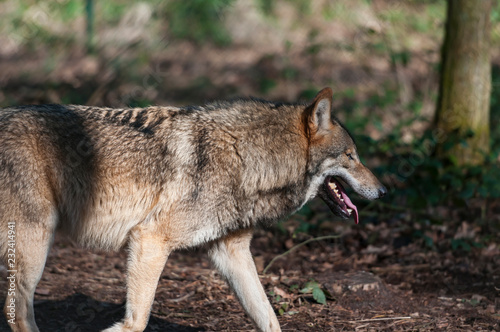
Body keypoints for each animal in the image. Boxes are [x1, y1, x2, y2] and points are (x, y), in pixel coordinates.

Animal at [0, 88, 386, 332]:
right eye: (351, 157)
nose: (383, 191)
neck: (249, 157)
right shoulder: (149, 240)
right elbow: (137, 321)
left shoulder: (231, 252)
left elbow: (270, 319)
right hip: (35, 248)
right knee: (18, 315)